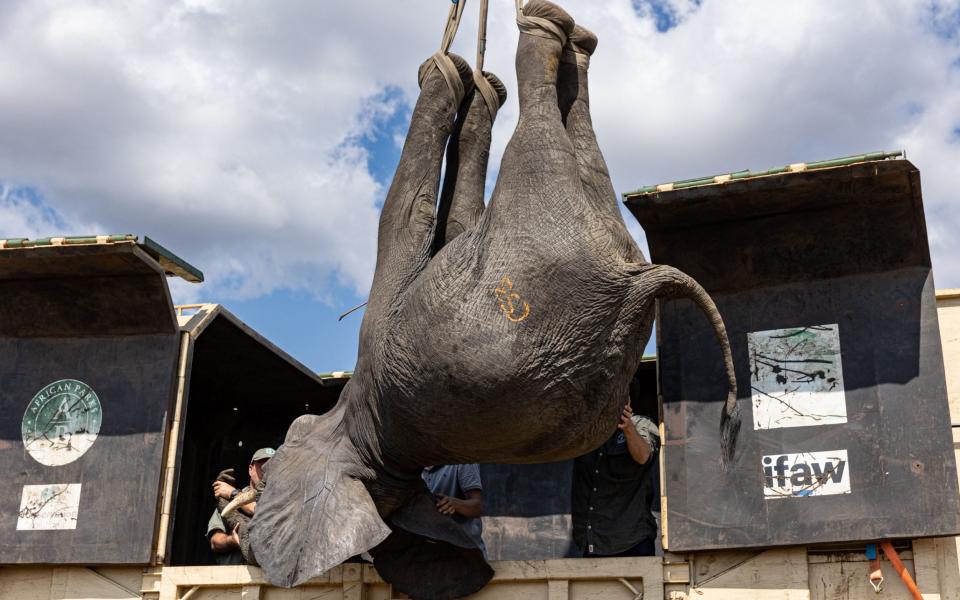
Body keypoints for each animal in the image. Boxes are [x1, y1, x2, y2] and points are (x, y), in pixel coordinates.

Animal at [234, 2, 744, 596]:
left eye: (289, 437)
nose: (244, 529)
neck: (371, 447)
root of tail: (641, 279)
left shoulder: (378, 344)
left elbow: (412, 218)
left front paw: (460, 77)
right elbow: (433, 220)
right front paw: (465, 77)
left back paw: (547, 31)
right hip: (553, 216)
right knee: (560, 136)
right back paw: (563, 34)